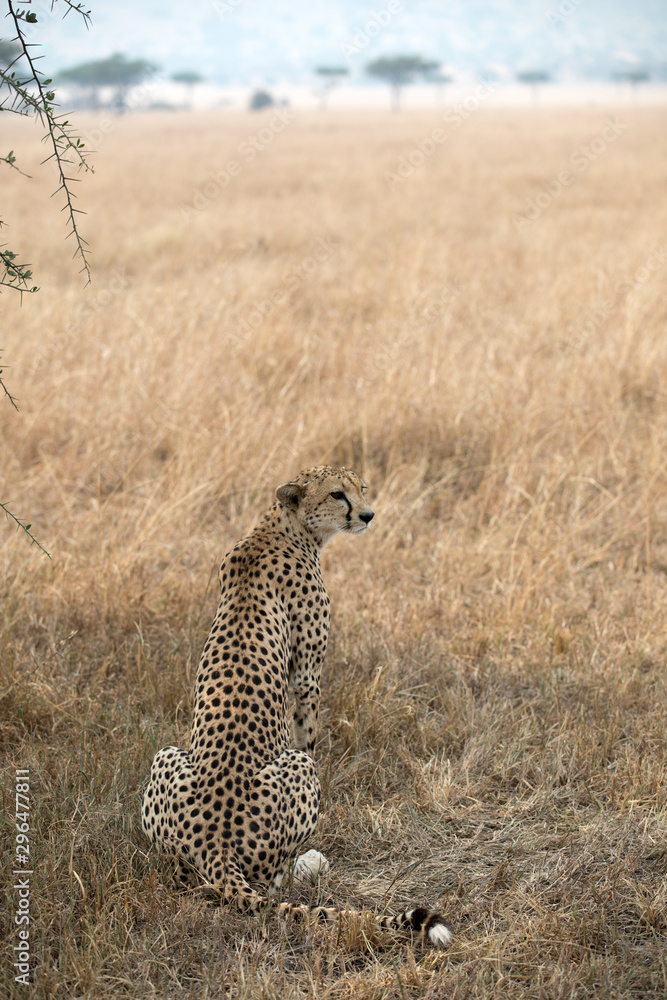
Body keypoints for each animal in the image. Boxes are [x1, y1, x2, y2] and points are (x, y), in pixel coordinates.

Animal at [141, 465, 453, 947]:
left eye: (361, 487)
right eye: (337, 494)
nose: (368, 514)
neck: (280, 527)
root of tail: (214, 841)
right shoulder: (307, 676)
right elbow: (308, 733)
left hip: (166, 757)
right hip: (294, 778)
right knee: (273, 880)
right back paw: (308, 864)